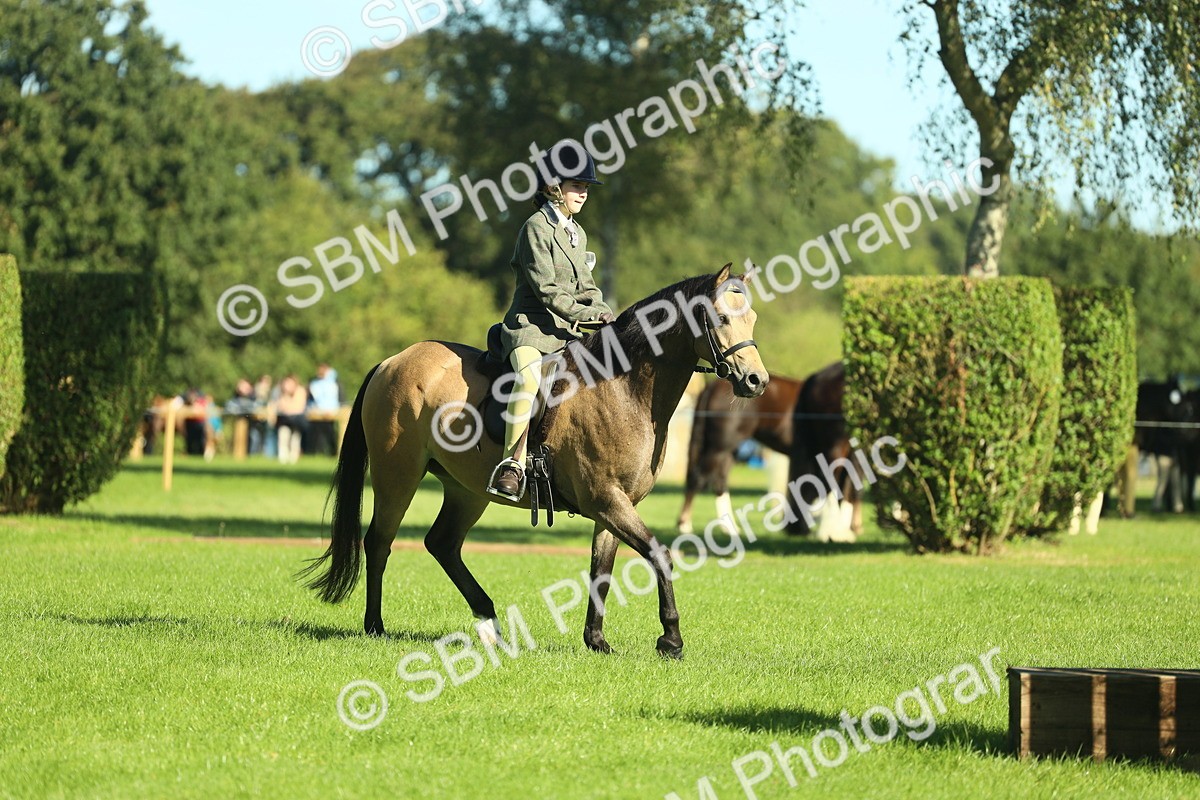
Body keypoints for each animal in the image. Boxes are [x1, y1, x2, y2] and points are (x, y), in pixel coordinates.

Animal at [300, 266, 768, 659]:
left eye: (753, 319)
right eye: (720, 318)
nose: (756, 381)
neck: (624, 387)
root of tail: (392, 361)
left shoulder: (615, 507)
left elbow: (602, 569)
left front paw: (596, 640)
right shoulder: (606, 500)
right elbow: (659, 555)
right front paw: (671, 639)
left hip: (466, 490)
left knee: (443, 544)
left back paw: (489, 623)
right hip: (397, 476)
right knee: (379, 542)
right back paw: (375, 625)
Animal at [675, 374, 803, 535]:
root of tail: (712, 386)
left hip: (729, 451)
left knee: (719, 482)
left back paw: (729, 527)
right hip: (719, 447)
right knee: (698, 478)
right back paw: (684, 525)